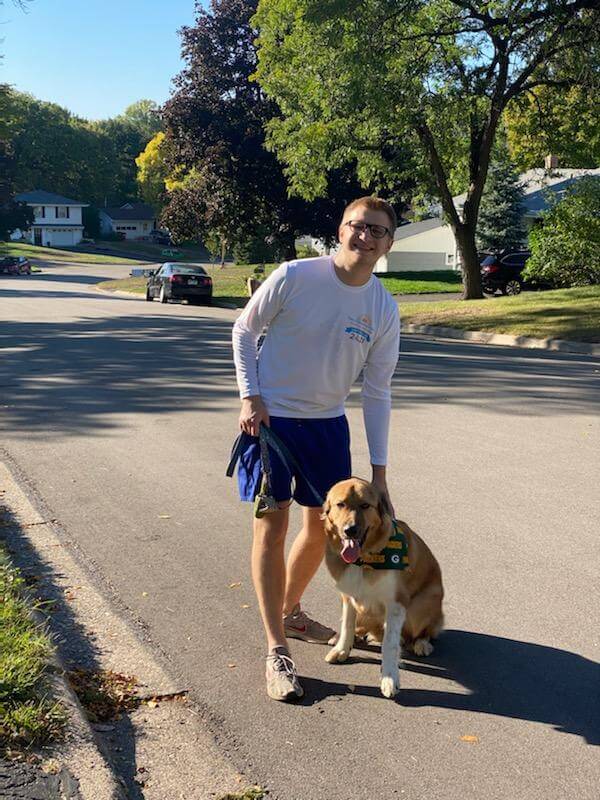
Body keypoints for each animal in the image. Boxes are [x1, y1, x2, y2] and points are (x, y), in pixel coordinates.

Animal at [322, 478, 442, 696]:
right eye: (340, 504)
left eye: (365, 505)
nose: (350, 530)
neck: (363, 561)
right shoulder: (348, 596)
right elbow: (347, 624)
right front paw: (343, 649)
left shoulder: (396, 604)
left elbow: (390, 644)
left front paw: (389, 678)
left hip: (423, 604)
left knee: (423, 631)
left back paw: (421, 644)